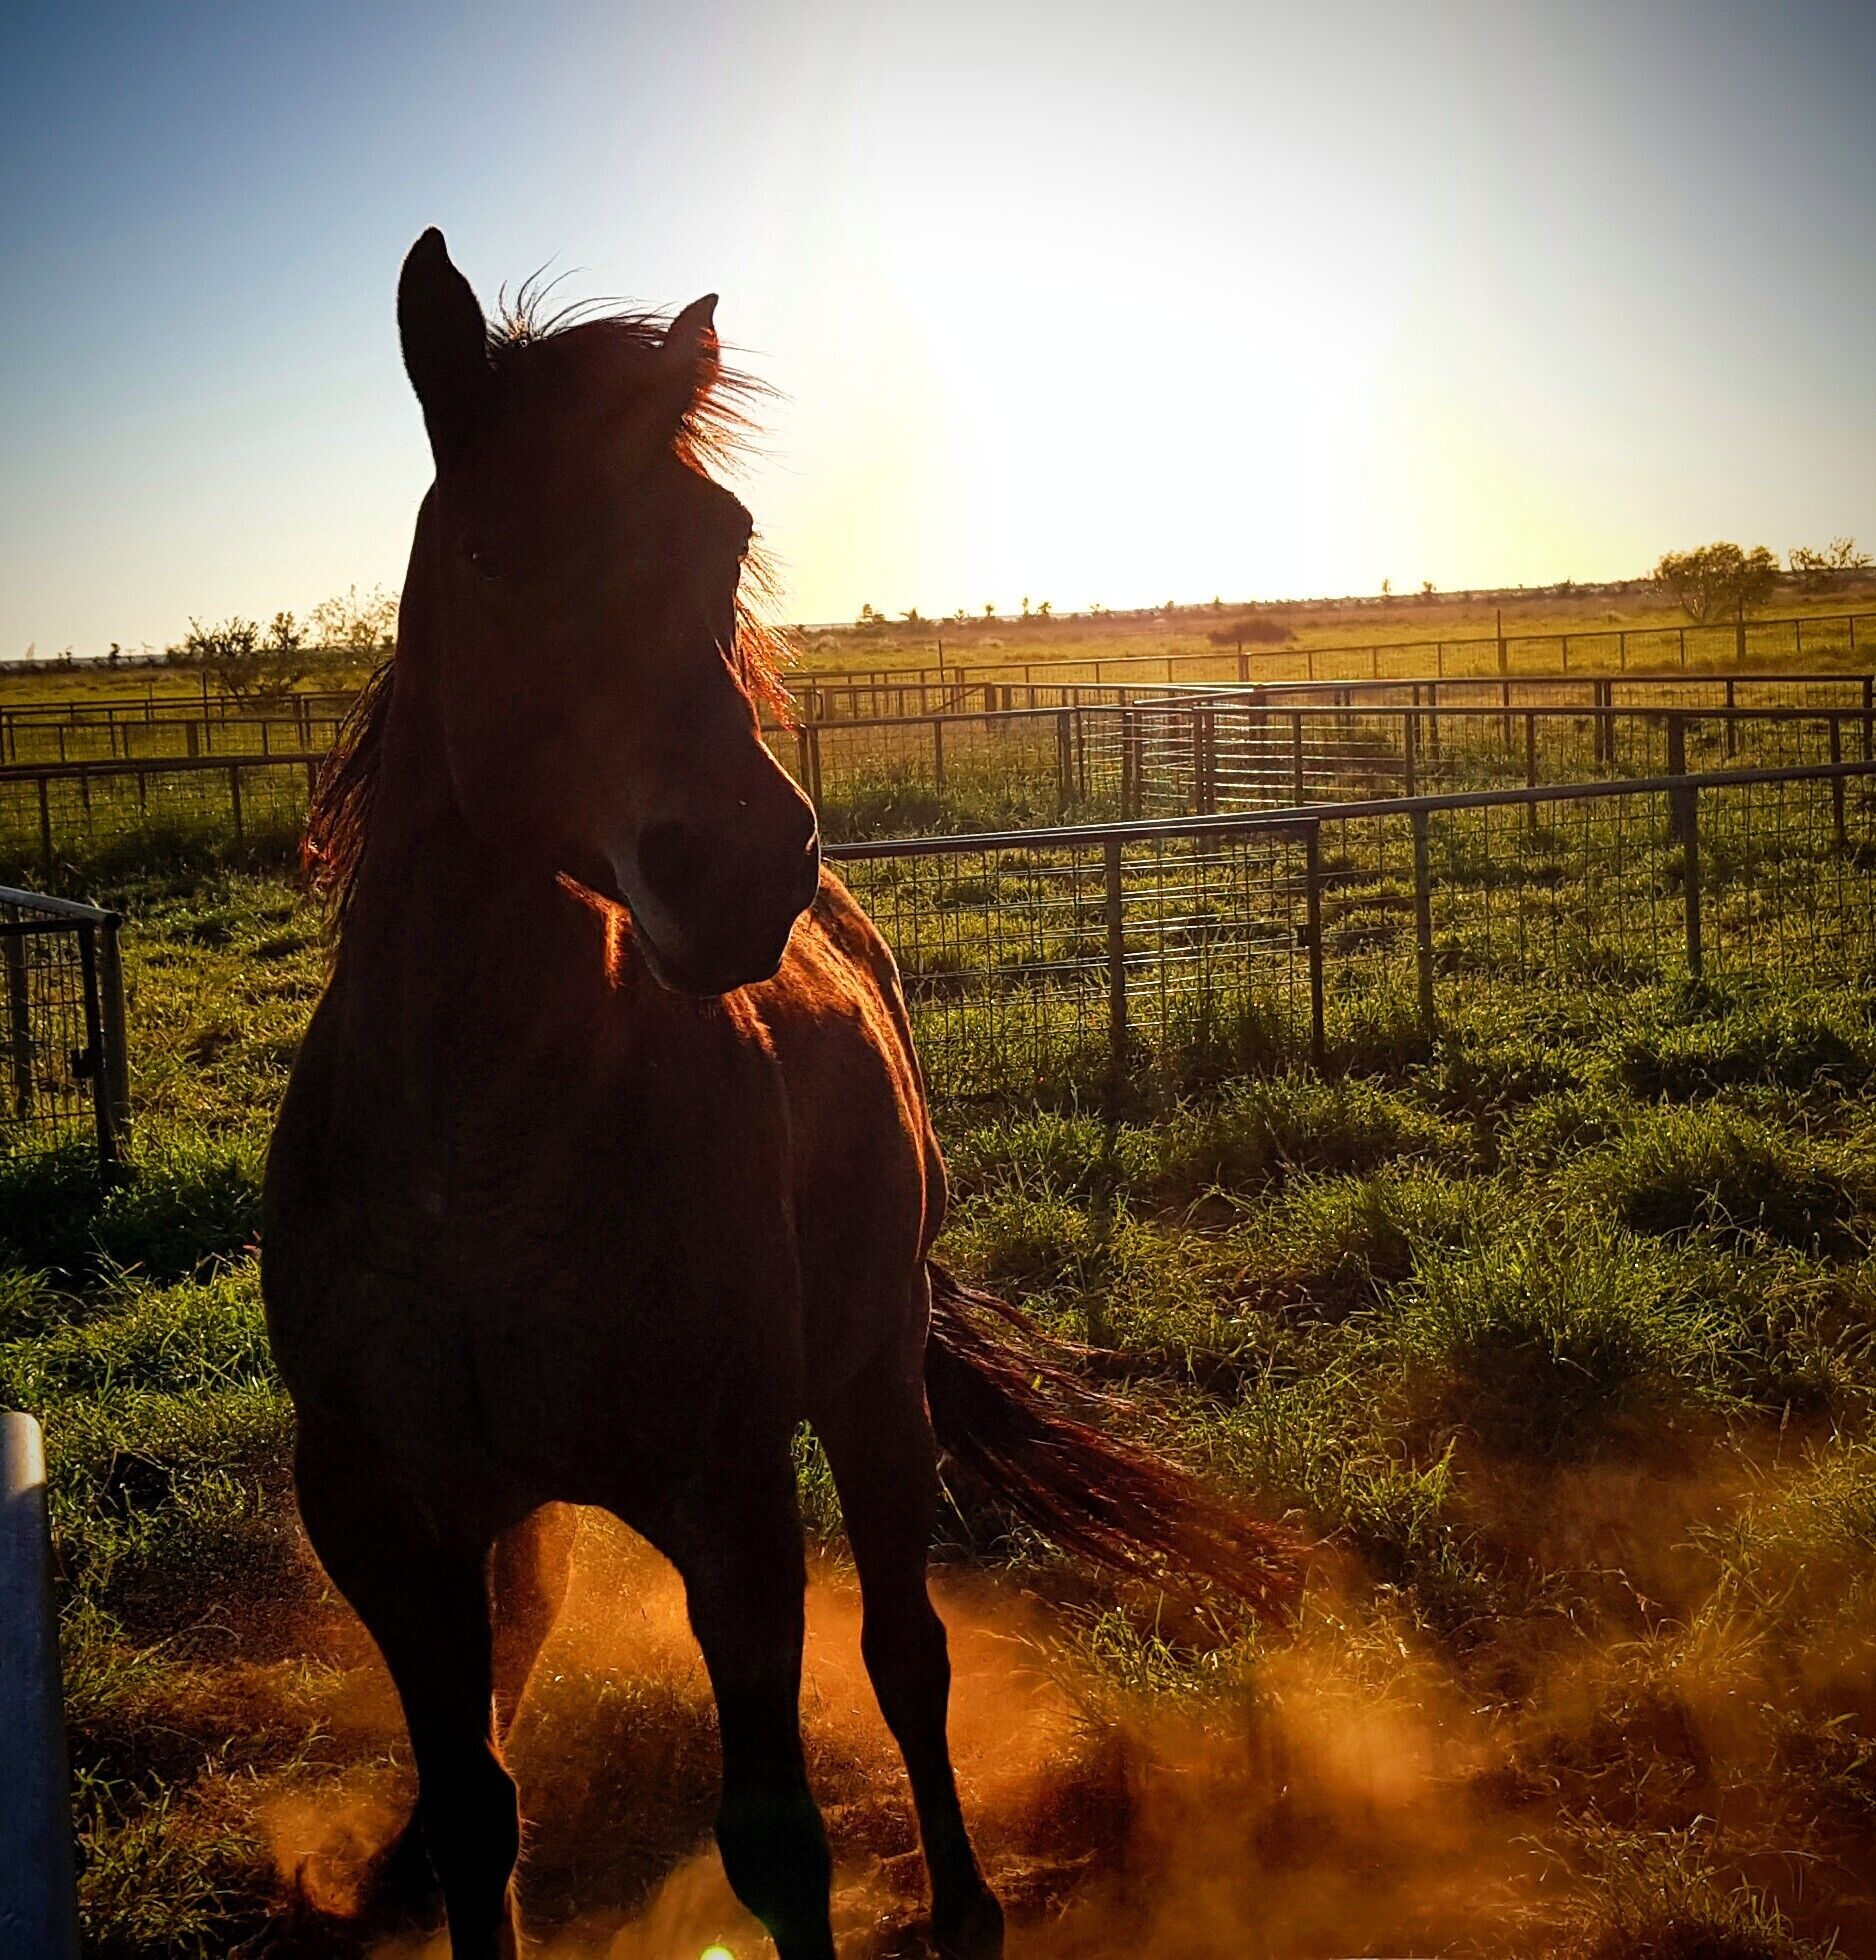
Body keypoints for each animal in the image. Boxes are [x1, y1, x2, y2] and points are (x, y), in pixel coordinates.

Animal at [262, 233, 1293, 1960]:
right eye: (485, 548)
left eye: (724, 536)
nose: (743, 866)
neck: (471, 1165)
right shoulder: (382, 1517)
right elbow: (475, 1810)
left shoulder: (732, 1505)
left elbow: (777, 1838)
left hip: (873, 1386)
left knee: (906, 1655)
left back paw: (967, 1909)